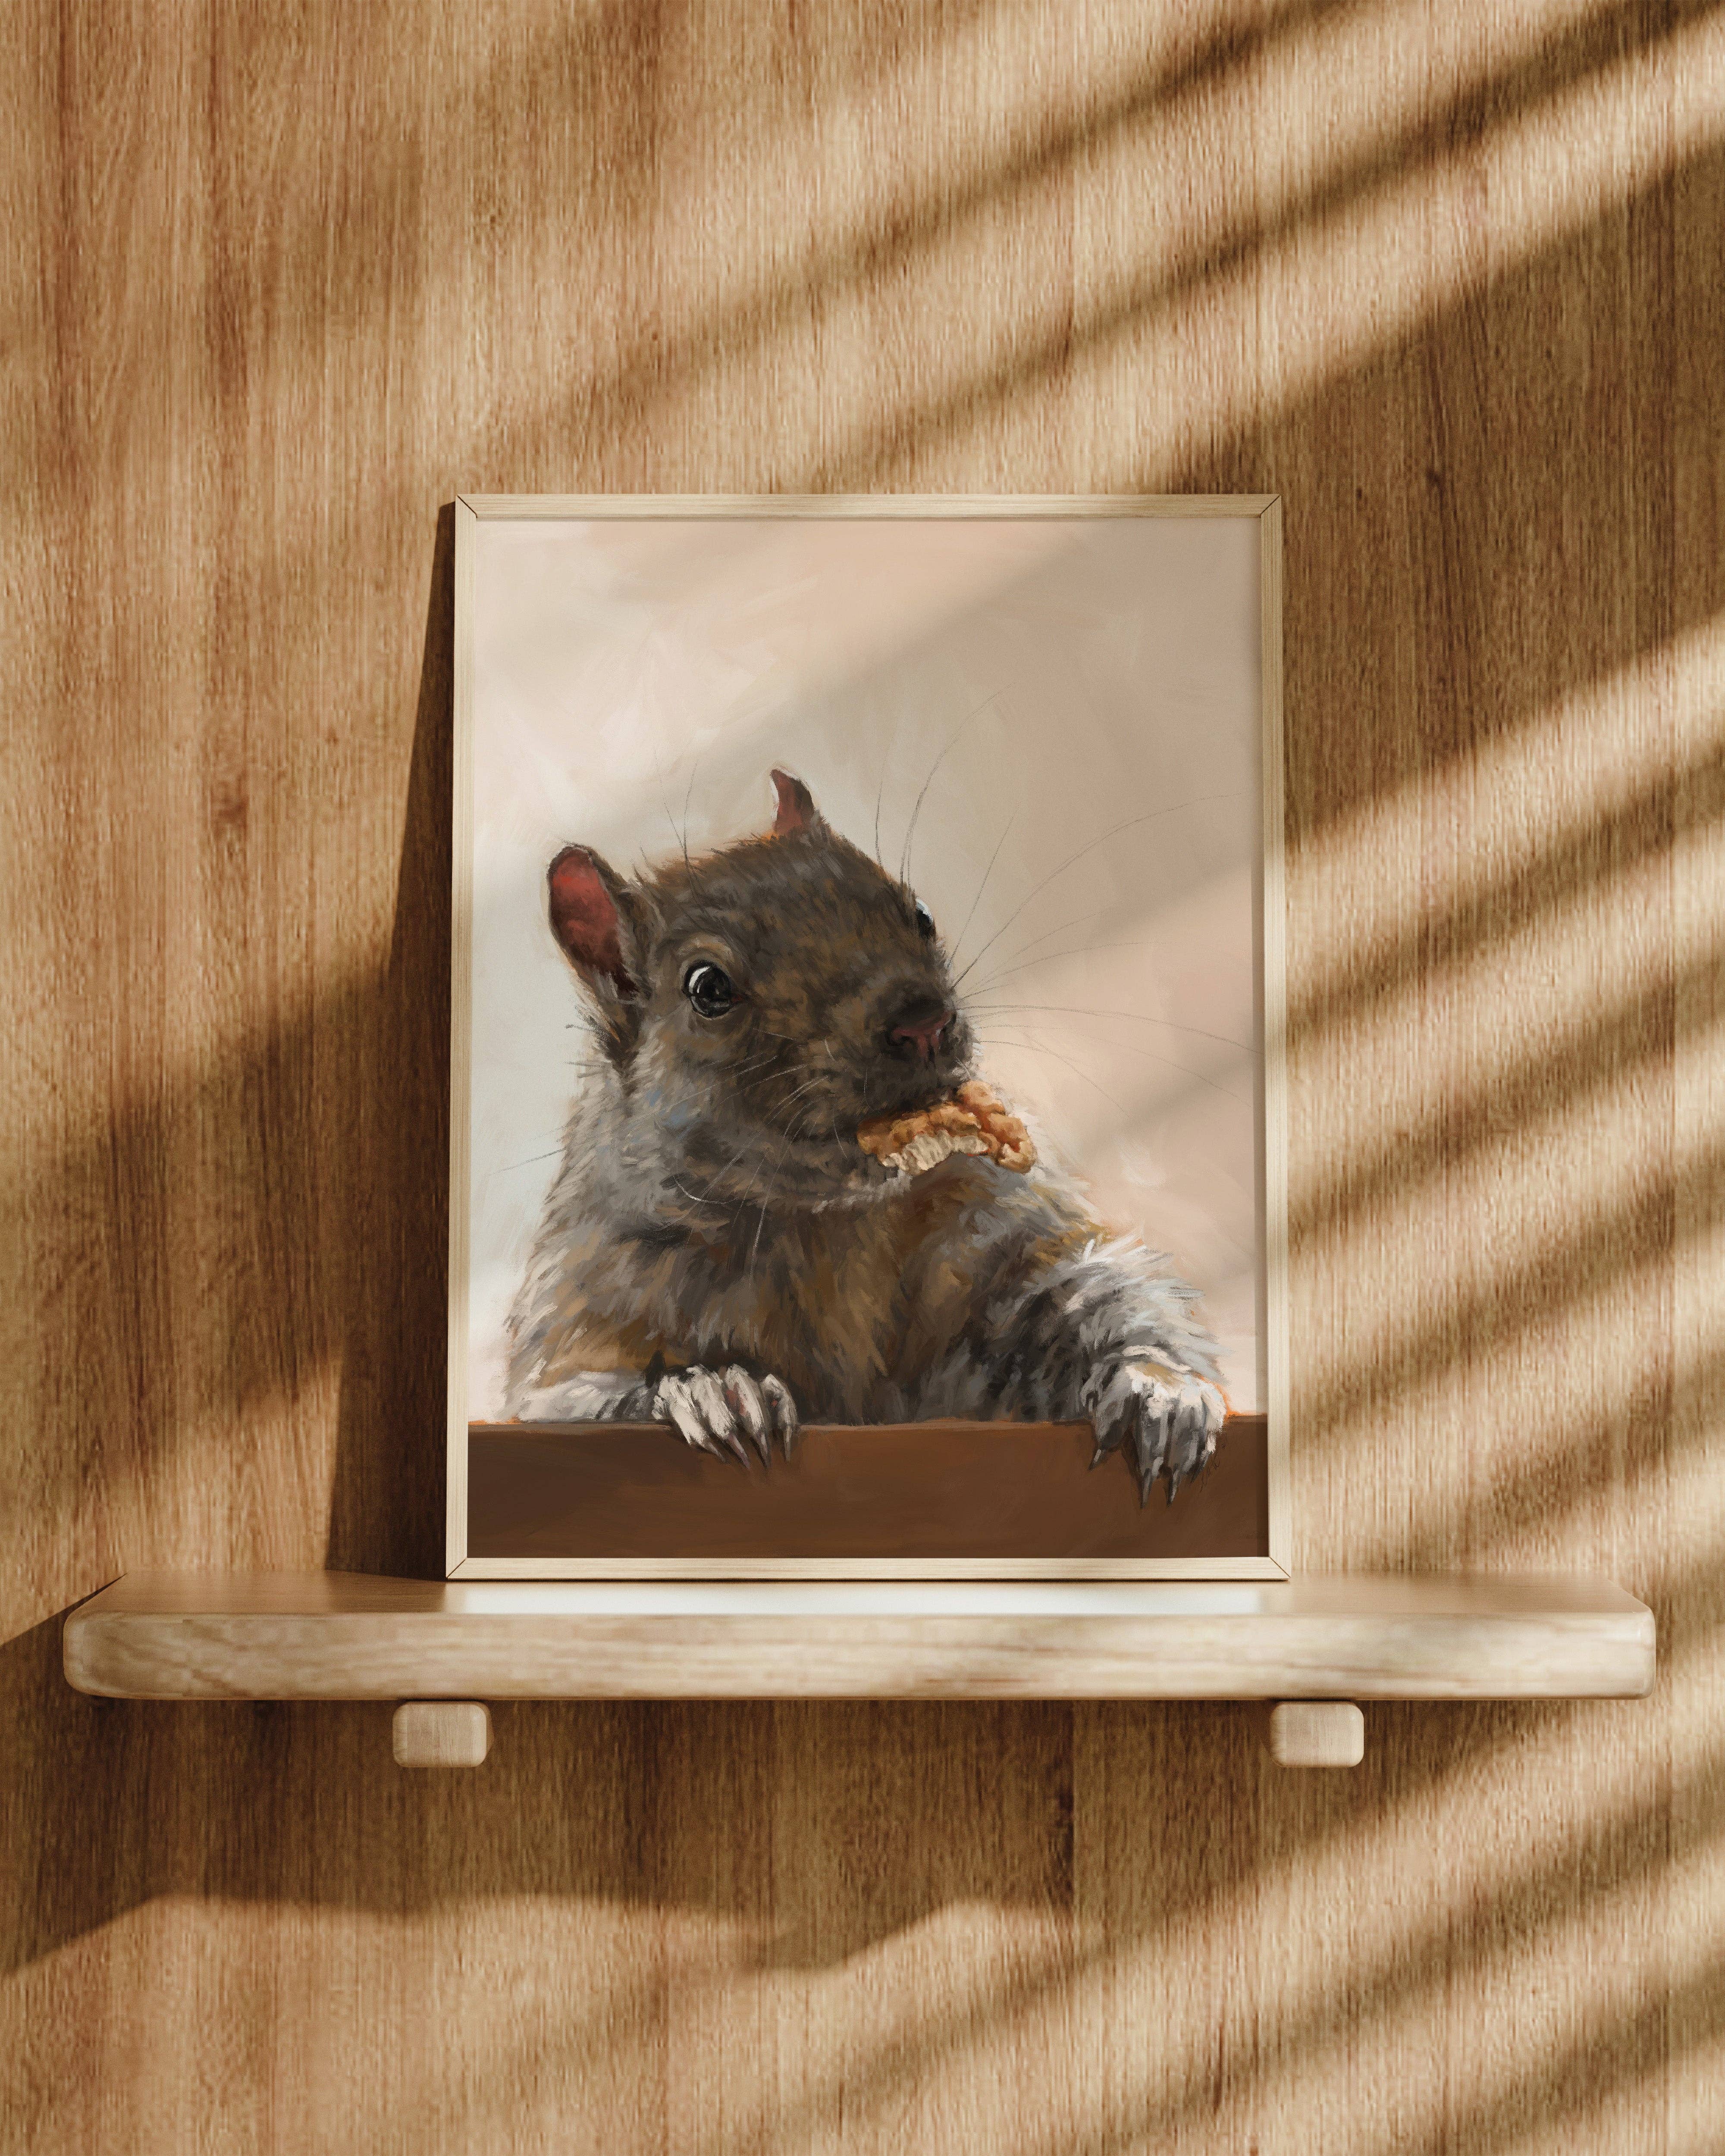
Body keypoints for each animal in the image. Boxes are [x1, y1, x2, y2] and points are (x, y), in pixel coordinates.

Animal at [503, 770, 1226, 1502]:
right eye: (707, 988)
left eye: (921, 914)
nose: (924, 1021)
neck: (827, 1223)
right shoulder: (586, 1312)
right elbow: (568, 1399)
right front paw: (711, 1390)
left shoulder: (991, 1230)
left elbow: (1092, 1289)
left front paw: (1159, 1390)